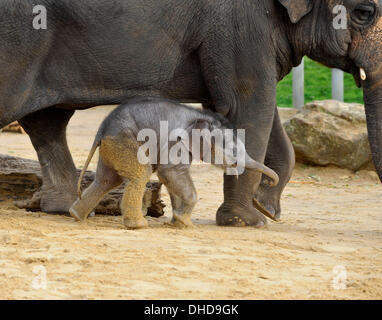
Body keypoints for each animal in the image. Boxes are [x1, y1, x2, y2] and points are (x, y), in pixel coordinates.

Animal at [69, 96, 278, 229]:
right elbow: (171, 173)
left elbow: (171, 179)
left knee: (106, 180)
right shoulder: (176, 143)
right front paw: (185, 223)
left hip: (113, 146)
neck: (201, 117)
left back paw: (76, 215)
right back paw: (139, 225)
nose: (272, 181)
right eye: (232, 149)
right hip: (125, 141)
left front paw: (179, 223)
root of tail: (102, 130)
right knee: (140, 174)